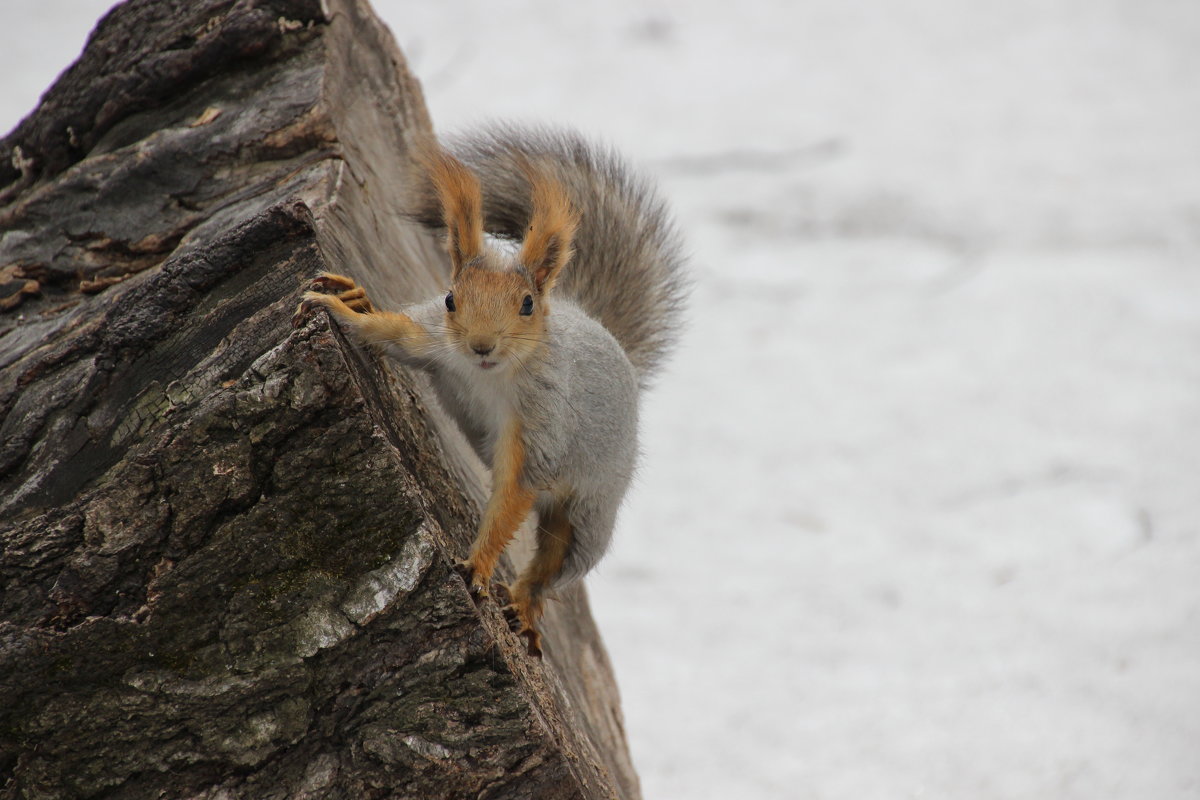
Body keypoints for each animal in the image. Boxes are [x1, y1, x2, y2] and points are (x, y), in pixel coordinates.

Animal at [292, 126, 686, 657]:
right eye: (450, 298)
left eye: (526, 305)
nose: (481, 345)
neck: (489, 375)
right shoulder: (434, 343)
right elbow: (390, 334)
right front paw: (343, 305)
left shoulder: (544, 418)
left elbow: (513, 492)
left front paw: (477, 566)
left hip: (592, 509)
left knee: (556, 565)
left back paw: (523, 604)